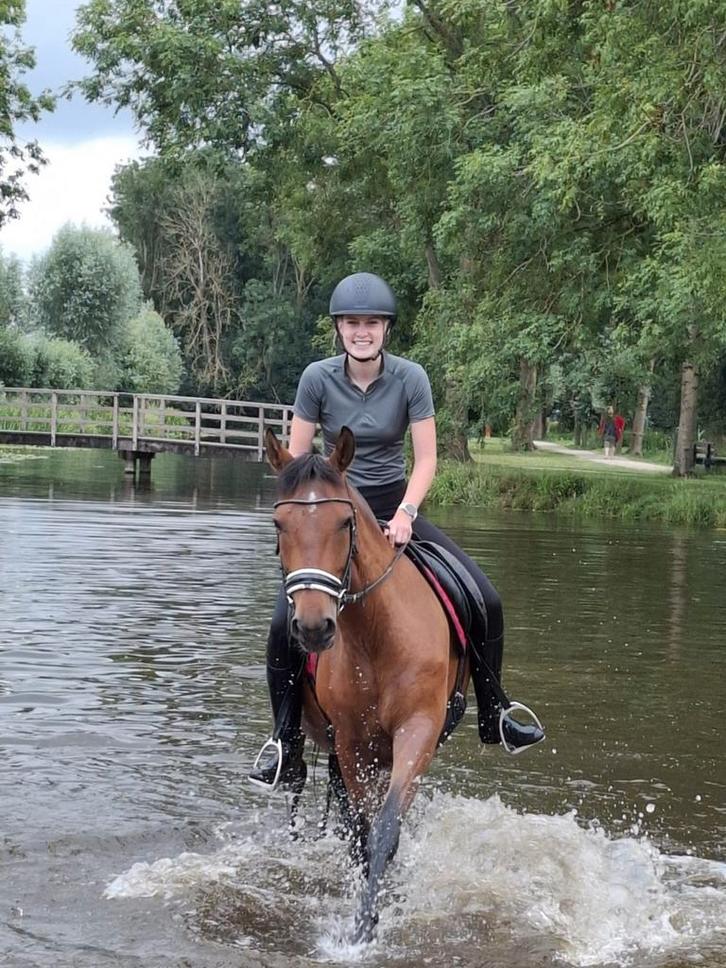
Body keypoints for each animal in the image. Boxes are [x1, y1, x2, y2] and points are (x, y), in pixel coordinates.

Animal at [265, 425, 469, 943]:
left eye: (343, 522)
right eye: (279, 525)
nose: (313, 628)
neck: (377, 635)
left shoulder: (417, 731)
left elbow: (385, 829)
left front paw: (366, 926)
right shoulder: (352, 743)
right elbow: (359, 833)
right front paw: (361, 919)